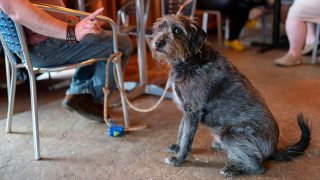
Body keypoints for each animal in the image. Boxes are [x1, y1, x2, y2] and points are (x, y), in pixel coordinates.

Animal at [149, 14, 310, 177]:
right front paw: (177, 148)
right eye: (160, 27)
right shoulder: (187, 110)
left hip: (230, 134)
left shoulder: (193, 111)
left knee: (258, 167)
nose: (157, 43)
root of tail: (274, 149)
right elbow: (181, 131)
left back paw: (232, 169)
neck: (190, 59)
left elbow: (186, 137)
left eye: (177, 30)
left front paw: (178, 159)